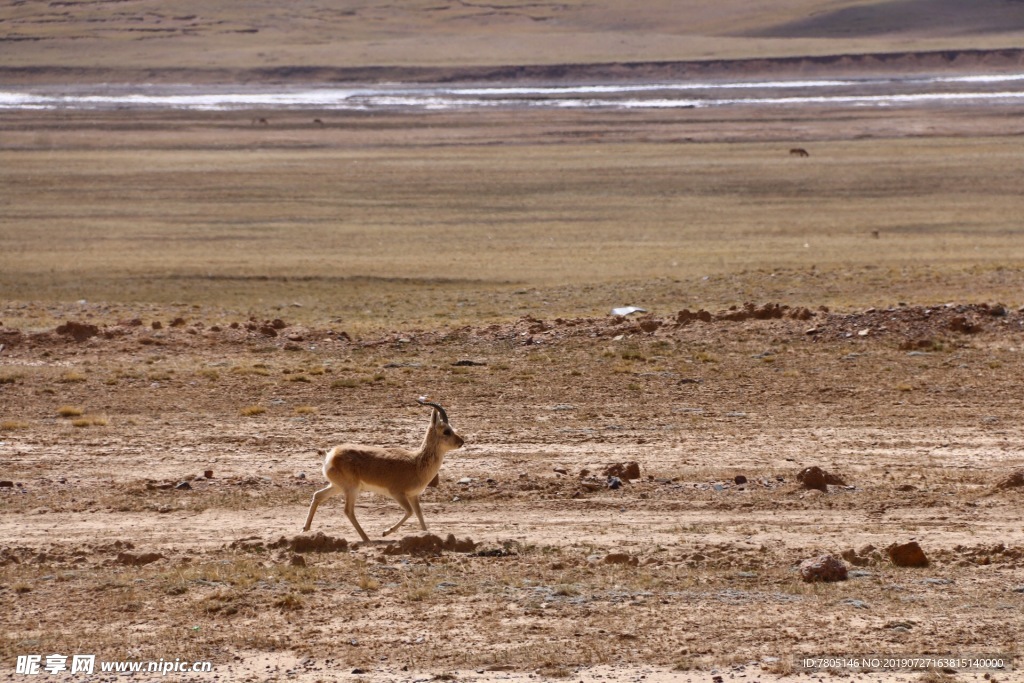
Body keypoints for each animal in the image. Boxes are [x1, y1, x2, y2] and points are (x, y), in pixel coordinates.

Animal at [301, 397, 466, 540]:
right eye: (446, 431)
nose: (461, 442)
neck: (416, 463)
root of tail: (331, 455)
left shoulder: (413, 496)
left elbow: (419, 514)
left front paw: (427, 535)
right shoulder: (397, 493)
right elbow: (410, 512)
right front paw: (386, 532)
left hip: (337, 486)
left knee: (318, 496)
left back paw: (305, 528)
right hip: (351, 489)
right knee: (348, 510)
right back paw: (366, 538)